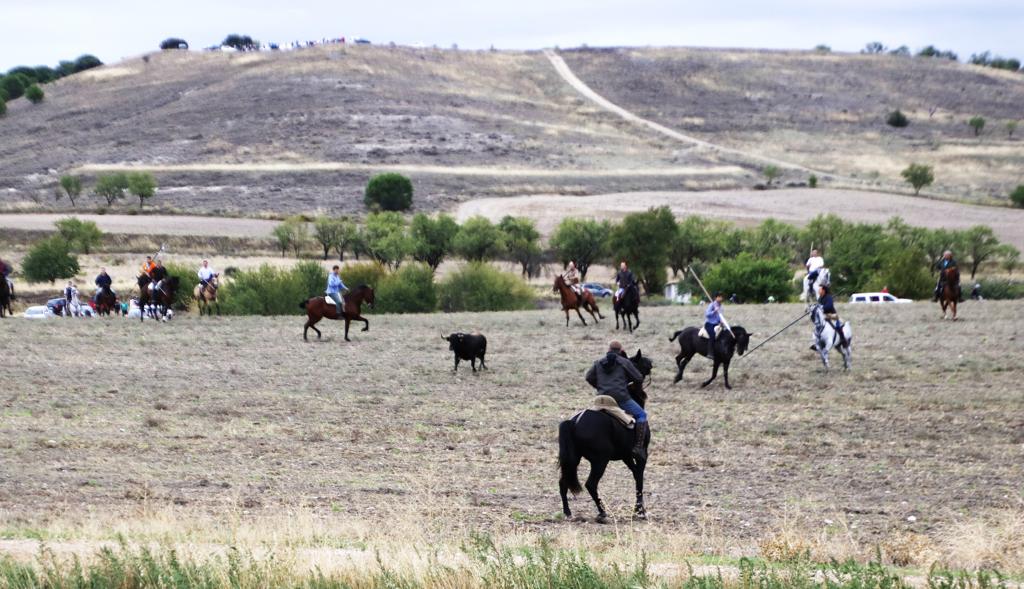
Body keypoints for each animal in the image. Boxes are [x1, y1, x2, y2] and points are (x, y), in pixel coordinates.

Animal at [557, 348, 651, 522]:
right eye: (639, 361)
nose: (650, 364)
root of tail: (574, 422)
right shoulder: (642, 455)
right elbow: (639, 478)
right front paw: (640, 511)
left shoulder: (626, 456)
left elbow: (635, 475)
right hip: (600, 461)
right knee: (590, 484)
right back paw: (602, 512)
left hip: (572, 460)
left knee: (563, 482)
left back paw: (568, 512)